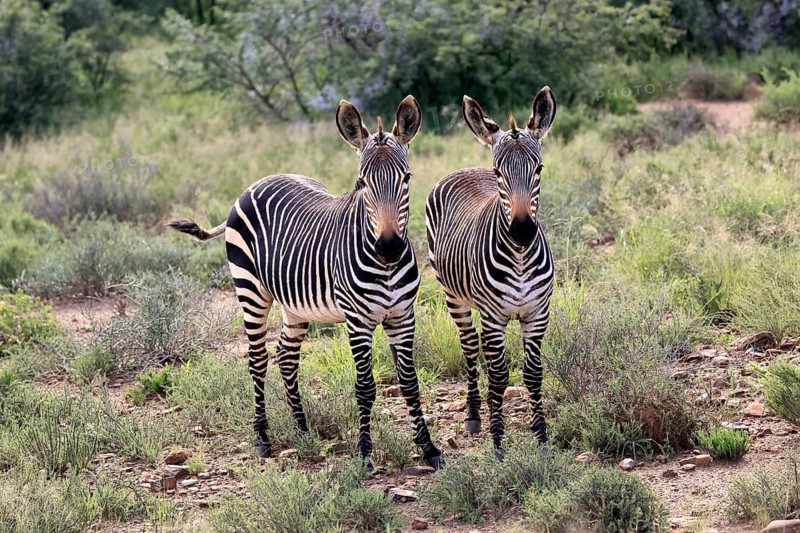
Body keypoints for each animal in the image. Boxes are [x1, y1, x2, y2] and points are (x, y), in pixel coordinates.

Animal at [168, 96, 443, 469]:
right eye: (362, 182)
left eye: (407, 178)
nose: (389, 248)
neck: (384, 266)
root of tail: (257, 182)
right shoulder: (357, 321)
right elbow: (365, 387)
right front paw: (365, 454)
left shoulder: (403, 316)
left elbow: (411, 384)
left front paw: (429, 449)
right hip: (250, 290)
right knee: (257, 358)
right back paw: (262, 438)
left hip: (295, 304)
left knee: (286, 355)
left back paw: (302, 428)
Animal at [425, 86, 557, 457]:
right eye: (499, 172)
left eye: (539, 168)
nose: (522, 231)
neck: (520, 258)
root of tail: (467, 168)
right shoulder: (494, 316)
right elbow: (498, 376)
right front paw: (498, 442)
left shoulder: (537, 313)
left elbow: (532, 373)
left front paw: (541, 437)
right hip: (454, 297)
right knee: (471, 347)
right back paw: (473, 415)